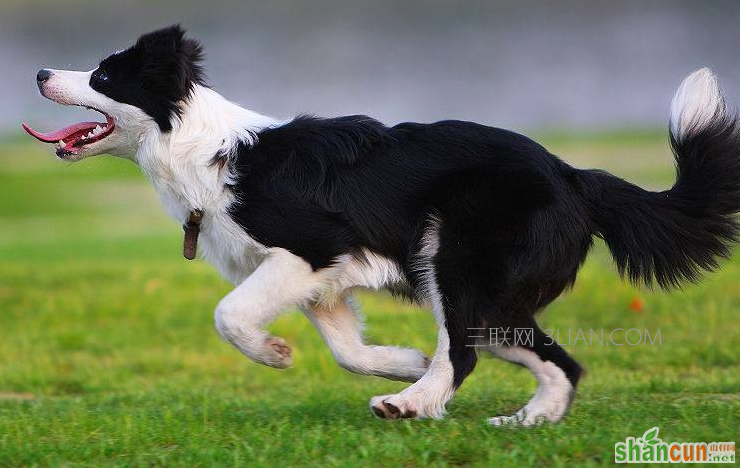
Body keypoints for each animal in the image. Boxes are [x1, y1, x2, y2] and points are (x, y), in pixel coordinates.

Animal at [23, 24, 740, 424]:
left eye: (103, 75)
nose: (38, 70)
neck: (203, 150)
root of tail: (574, 175)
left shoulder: (310, 248)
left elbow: (229, 314)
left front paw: (274, 353)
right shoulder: (322, 282)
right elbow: (347, 349)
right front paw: (398, 362)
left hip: (456, 263)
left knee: (467, 351)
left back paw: (414, 405)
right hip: (487, 296)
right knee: (550, 357)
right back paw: (523, 420)